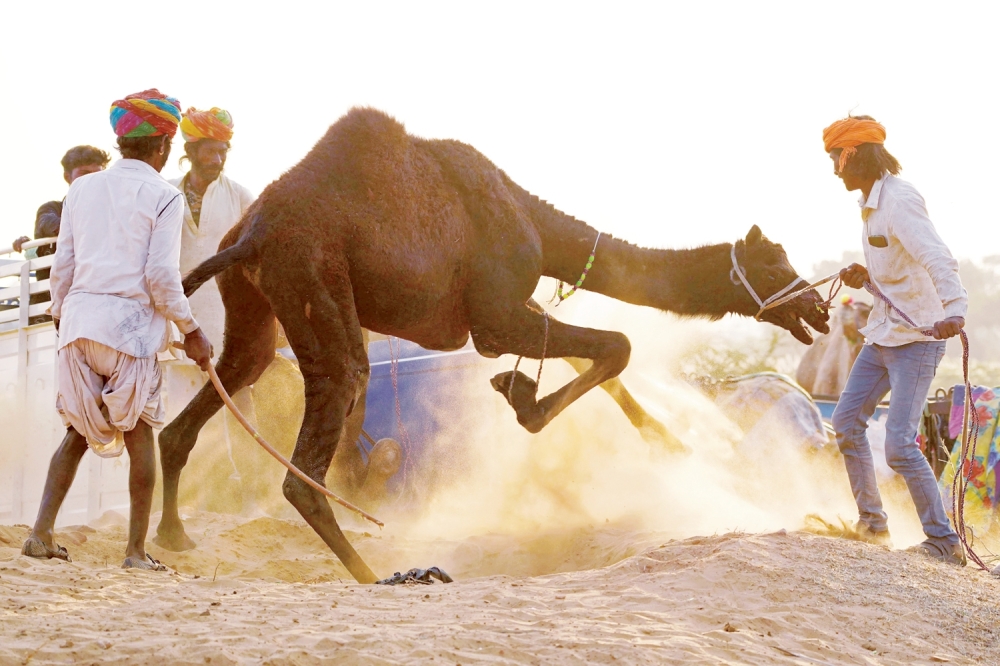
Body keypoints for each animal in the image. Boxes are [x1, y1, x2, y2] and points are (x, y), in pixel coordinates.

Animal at [154, 108, 831, 583]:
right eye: (773, 263)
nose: (818, 308)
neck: (535, 224)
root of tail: (253, 233)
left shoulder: (510, 310)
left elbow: (598, 354)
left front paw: (666, 441)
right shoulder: (494, 318)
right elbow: (618, 344)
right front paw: (523, 398)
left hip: (254, 302)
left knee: (217, 390)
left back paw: (172, 536)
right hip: (312, 277)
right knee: (325, 421)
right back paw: (379, 575)